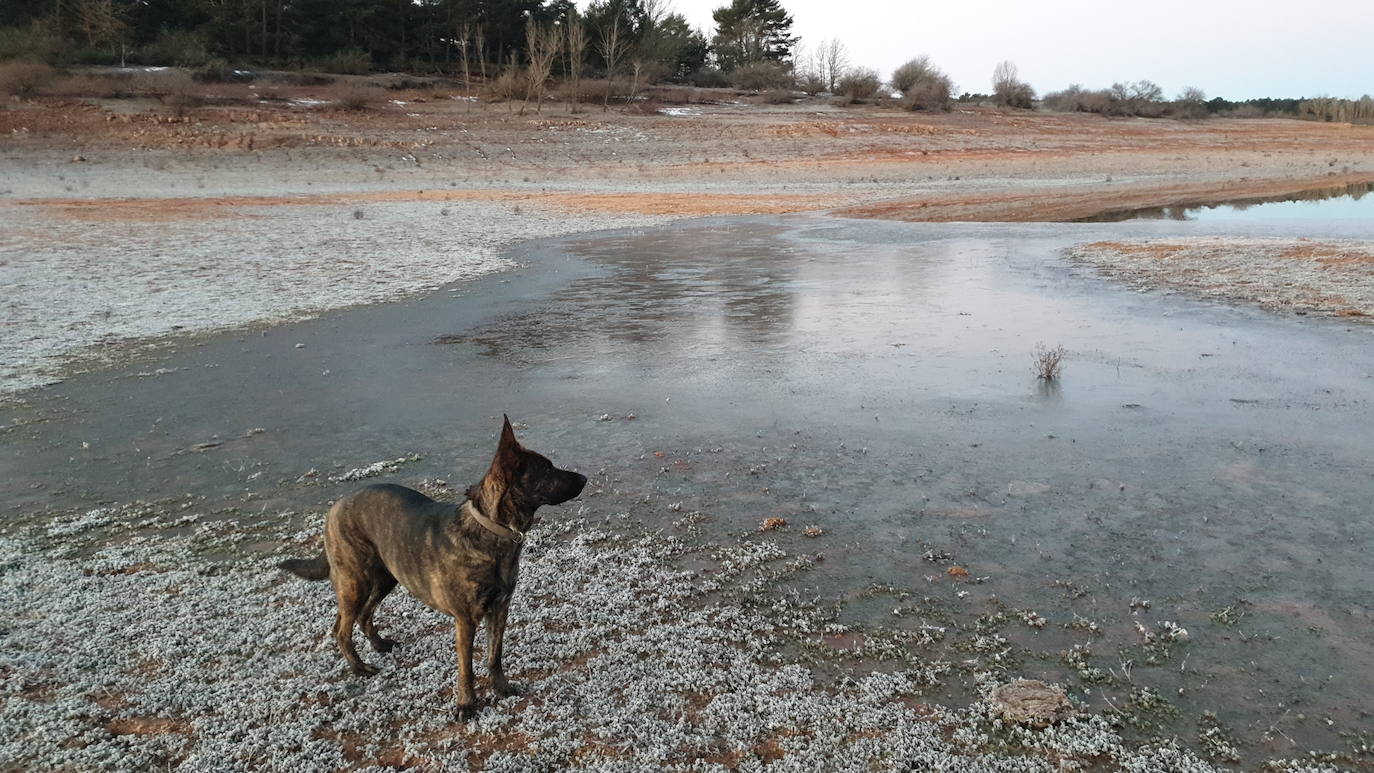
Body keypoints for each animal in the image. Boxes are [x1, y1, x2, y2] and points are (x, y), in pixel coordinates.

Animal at [276, 420, 582, 719]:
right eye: (547, 469)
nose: (584, 478)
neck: (490, 530)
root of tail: (336, 506)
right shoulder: (466, 620)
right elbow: (466, 668)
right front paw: (466, 704)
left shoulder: (500, 609)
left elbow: (495, 655)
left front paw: (501, 687)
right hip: (355, 582)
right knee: (341, 628)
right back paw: (359, 668)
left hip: (386, 578)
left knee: (363, 615)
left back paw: (379, 644)